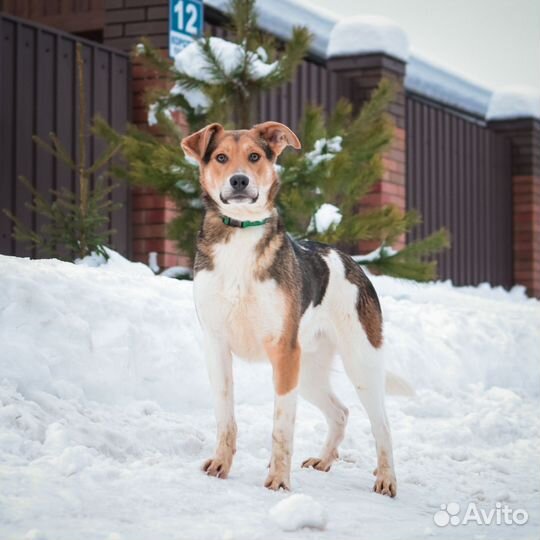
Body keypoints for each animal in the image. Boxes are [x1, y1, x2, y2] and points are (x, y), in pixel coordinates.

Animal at [181, 120, 410, 496]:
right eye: (221, 157)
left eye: (255, 156)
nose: (239, 181)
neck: (240, 233)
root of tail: (351, 262)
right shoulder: (216, 346)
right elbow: (225, 417)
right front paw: (220, 465)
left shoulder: (283, 353)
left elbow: (281, 428)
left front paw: (278, 480)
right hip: (309, 370)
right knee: (340, 412)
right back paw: (324, 461)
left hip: (360, 363)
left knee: (383, 425)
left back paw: (387, 479)